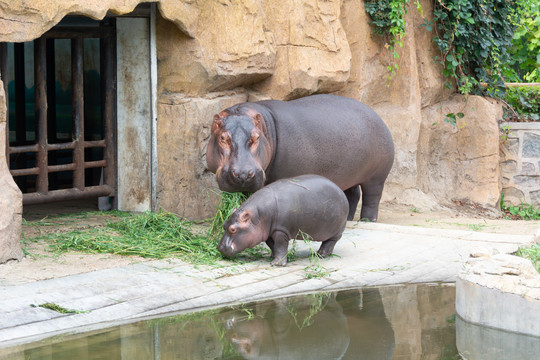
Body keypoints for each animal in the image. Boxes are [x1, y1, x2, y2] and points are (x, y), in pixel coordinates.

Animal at [206, 94, 392, 221]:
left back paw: (367, 220)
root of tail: (375, 114)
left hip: (376, 177)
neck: (267, 128)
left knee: (372, 198)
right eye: (223, 138)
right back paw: (347, 219)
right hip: (348, 174)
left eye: (256, 138)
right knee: (353, 194)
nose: (243, 173)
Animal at [216, 176, 348, 266]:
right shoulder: (268, 231)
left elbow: (280, 246)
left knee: (331, 241)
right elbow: (272, 245)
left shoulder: (281, 231)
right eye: (223, 224)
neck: (257, 216)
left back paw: (321, 255)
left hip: (336, 230)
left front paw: (276, 263)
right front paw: (273, 256)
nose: (220, 248)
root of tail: (341, 191)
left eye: (233, 229)